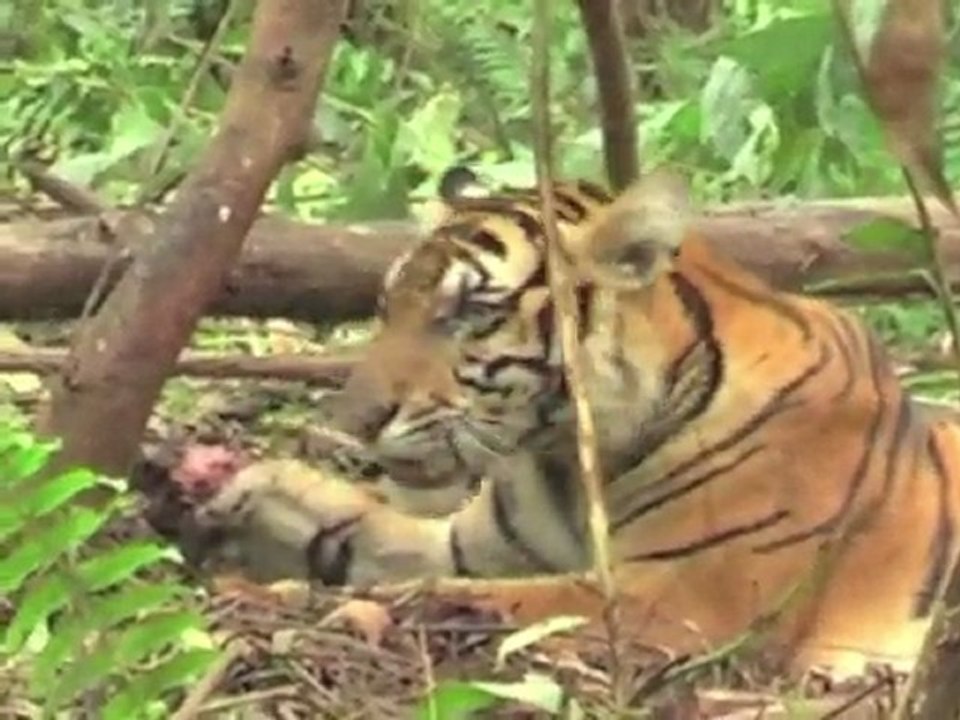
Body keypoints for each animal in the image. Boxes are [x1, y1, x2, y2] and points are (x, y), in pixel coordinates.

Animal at [193, 166, 960, 678]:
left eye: (472, 313)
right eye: (387, 307)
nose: (355, 421)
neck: (568, 455)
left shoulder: (680, 596)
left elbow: (451, 599)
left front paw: (297, 601)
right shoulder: (474, 544)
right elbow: (369, 529)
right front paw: (258, 495)